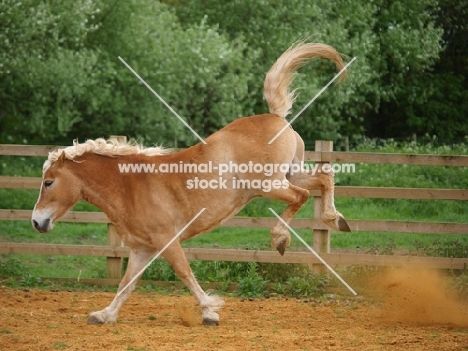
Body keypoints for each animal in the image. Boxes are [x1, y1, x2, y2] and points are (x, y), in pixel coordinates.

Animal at [31, 42, 352, 328]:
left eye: (48, 182)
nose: (36, 222)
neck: (129, 186)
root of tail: (275, 116)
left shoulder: (167, 241)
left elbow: (184, 273)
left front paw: (210, 312)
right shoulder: (141, 250)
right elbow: (126, 283)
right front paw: (104, 315)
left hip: (270, 183)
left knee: (301, 195)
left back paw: (281, 239)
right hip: (290, 173)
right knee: (324, 178)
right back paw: (336, 219)